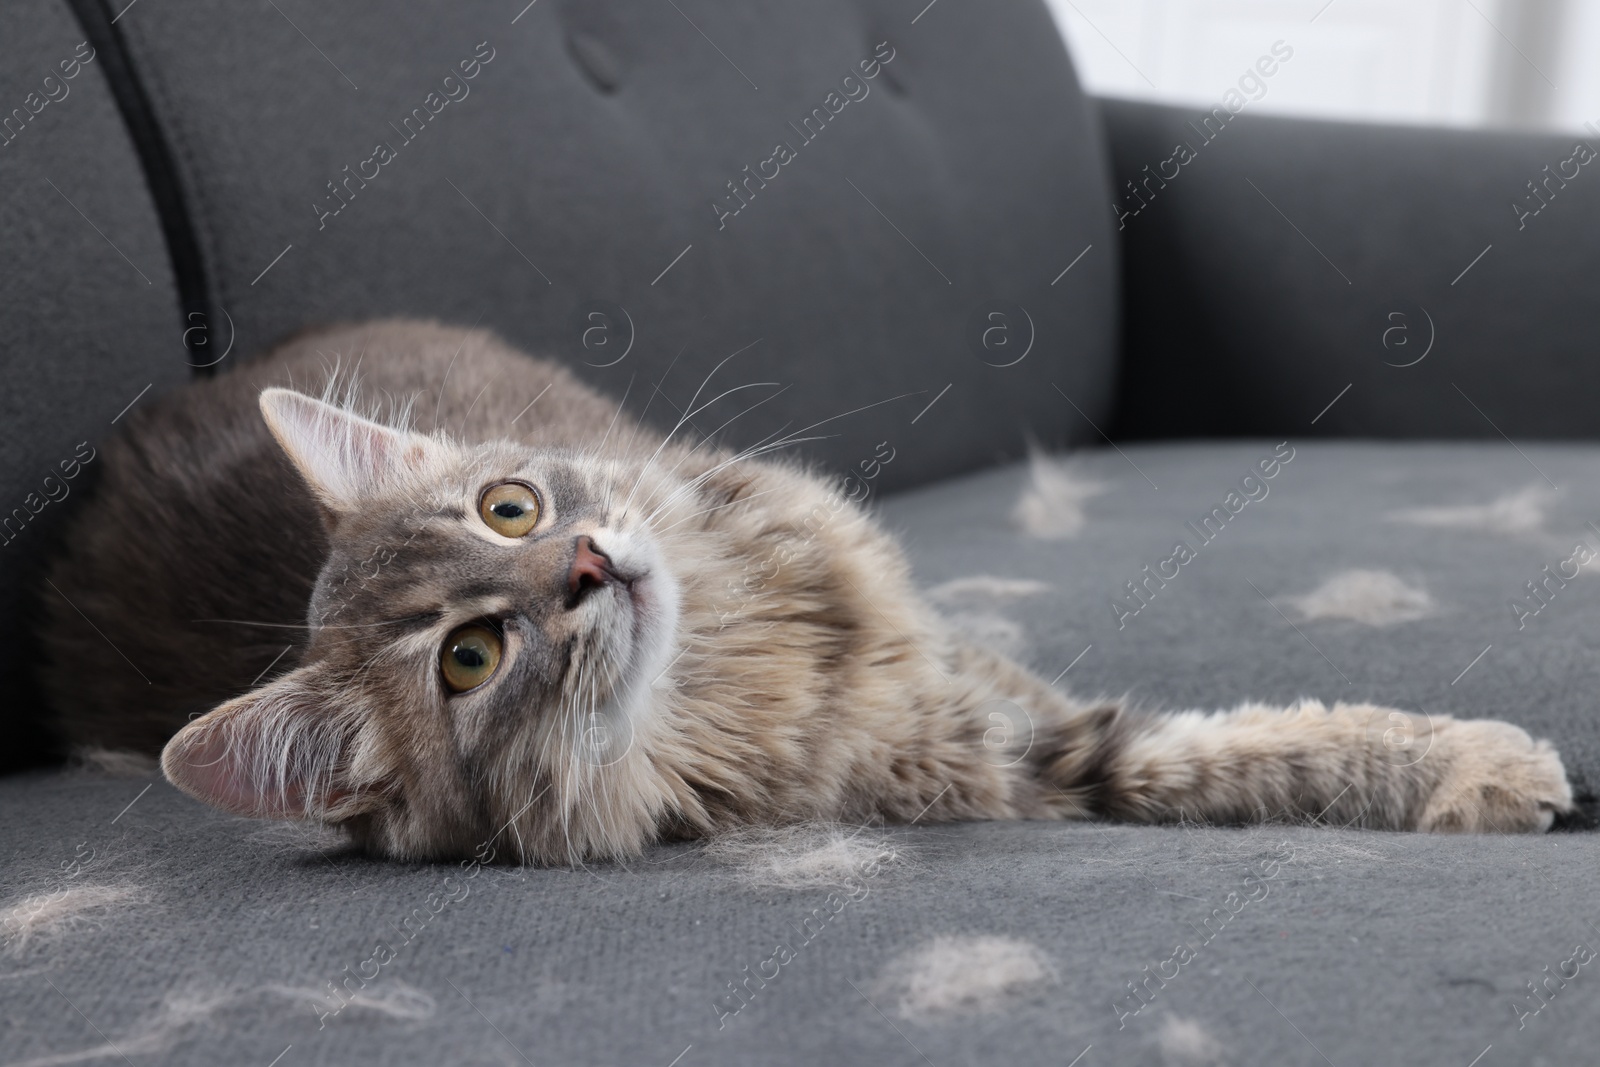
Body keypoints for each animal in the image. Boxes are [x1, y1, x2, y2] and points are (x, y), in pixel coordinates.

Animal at [40, 315, 1574, 857]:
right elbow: (1260, 751)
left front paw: (1480, 756)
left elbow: (1280, 739)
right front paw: (1494, 770)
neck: (731, 669)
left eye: (510, 505)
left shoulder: (1003, 711)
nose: (586, 562)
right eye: (469, 657)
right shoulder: (1017, 764)